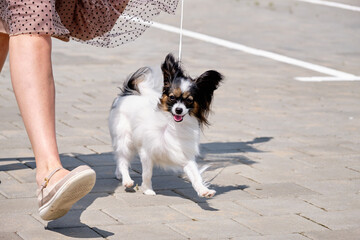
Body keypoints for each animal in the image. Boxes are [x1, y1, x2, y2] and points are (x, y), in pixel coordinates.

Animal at [108, 53, 224, 197]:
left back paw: (119, 175)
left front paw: (204, 190)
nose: (178, 110)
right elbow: (147, 174)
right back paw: (127, 180)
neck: (172, 125)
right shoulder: (147, 152)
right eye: (172, 97)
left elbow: (195, 175)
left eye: (189, 100)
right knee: (123, 160)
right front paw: (147, 190)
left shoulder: (184, 155)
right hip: (124, 139)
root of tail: (127, 94)